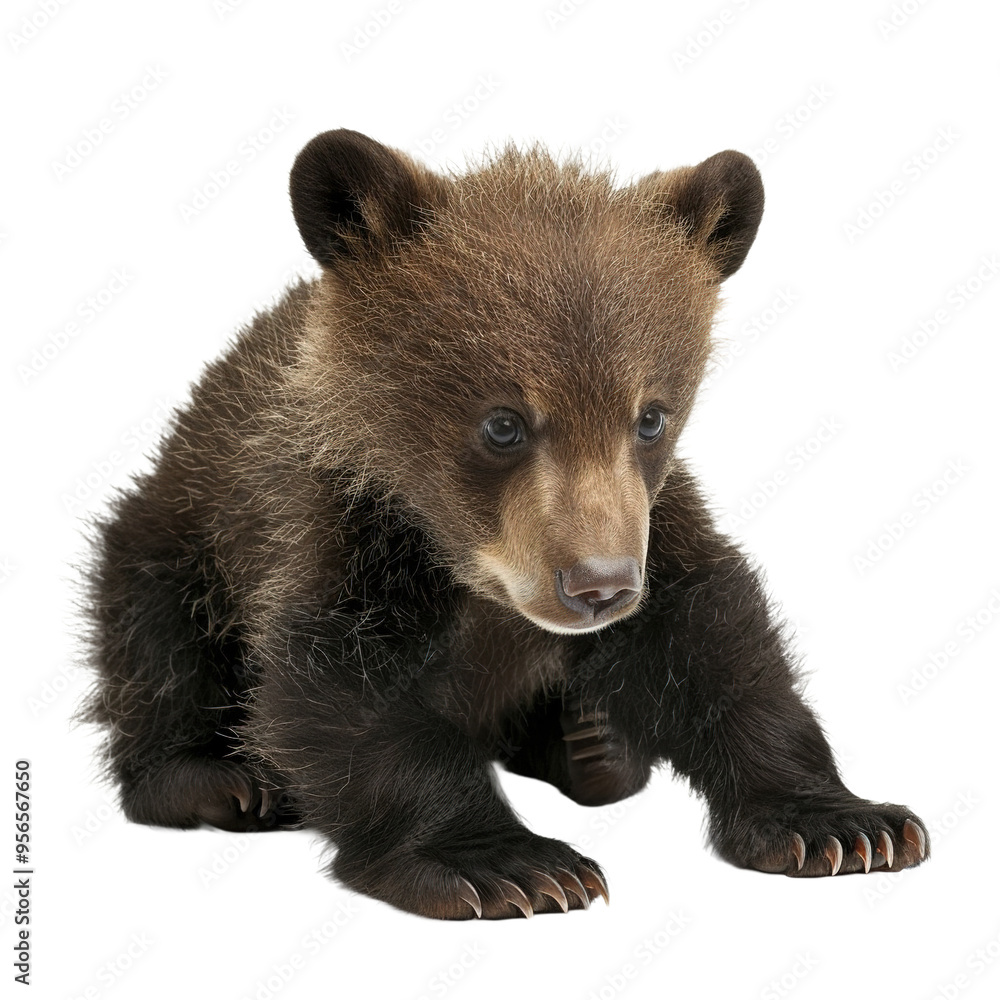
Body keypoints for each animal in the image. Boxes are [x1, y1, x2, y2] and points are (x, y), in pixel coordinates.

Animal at [80, 128, 929, 920]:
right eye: (503, 423)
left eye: (650, 416)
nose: (598, 588)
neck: (471, 575)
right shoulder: (337, 522)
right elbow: (342, 688)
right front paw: (510, 865)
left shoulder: (655, 521)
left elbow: (717, 638)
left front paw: (844, 824)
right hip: (173, 536)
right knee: (155, 641)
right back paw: (218, 778)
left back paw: (595, 746)